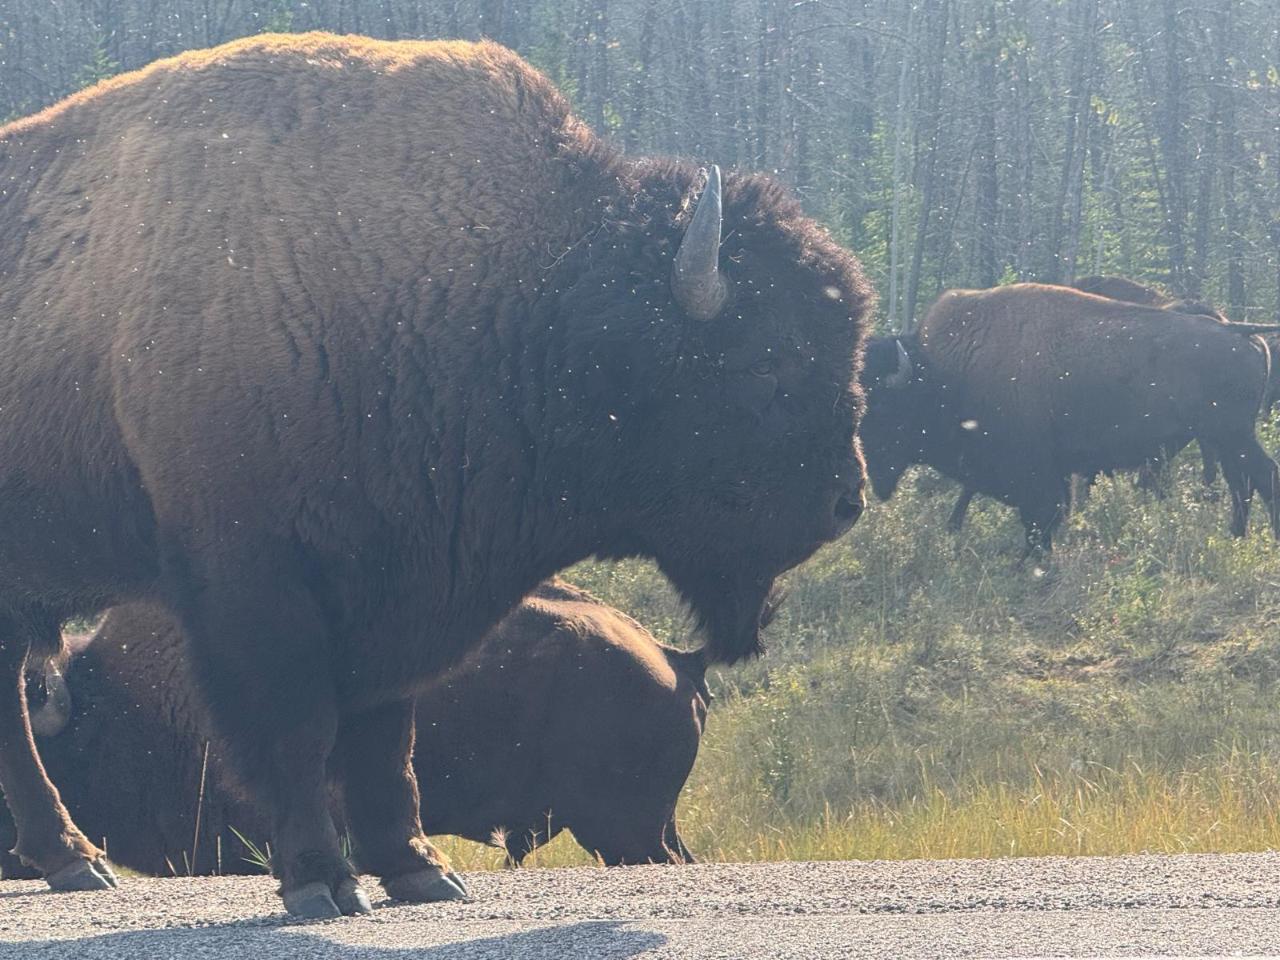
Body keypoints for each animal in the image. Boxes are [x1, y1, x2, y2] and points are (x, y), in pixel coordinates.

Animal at [861, 283, 1280, 554]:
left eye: (880, 408)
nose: (866, 473)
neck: (946, 374)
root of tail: (1236, 330)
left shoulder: (1035, 470)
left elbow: (1041, 516)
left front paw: (1033, 562)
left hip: (1231, 435)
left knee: (1262, 476)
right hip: (1226, 439)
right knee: (1241, 483)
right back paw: (1234, 537)